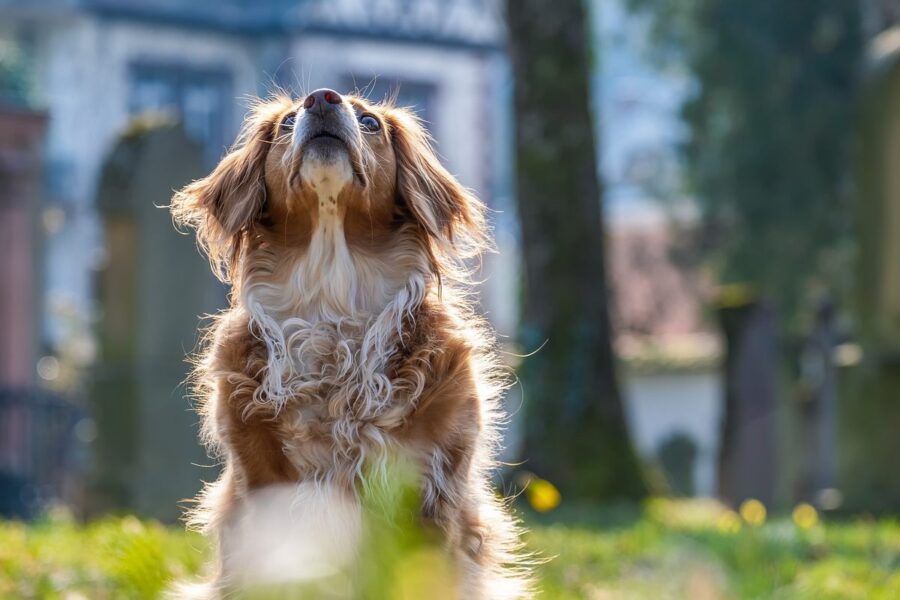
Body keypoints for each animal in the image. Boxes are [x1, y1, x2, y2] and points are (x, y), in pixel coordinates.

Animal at [171, 86, 528, 596]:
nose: (321, 99)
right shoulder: (263, 491)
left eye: (370, 122)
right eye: (286, 123)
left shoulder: (431, 494)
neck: (332, 300)